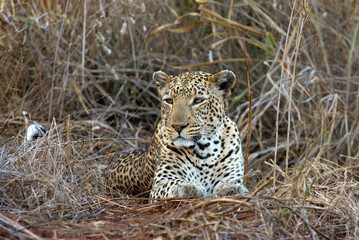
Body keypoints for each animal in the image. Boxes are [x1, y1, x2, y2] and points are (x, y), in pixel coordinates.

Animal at [105, 70, 249, 199]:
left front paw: (234, 188)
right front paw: (190, 186)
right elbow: (174, 184)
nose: (177, 126)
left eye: (198, 100)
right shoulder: (160, 183)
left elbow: (230, 183)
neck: (205, 149)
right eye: (169, 100)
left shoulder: (232, 174)